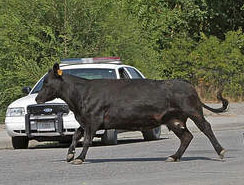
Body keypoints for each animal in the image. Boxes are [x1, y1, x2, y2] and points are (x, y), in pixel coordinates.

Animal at [35, 63, 229, 165]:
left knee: (206, 127)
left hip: (193, 111)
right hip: (173, 119)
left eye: (46, 83)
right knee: (186, 136)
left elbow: (88, 140)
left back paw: (220, 151)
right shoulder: (86, 121)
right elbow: (76, 135)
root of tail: (187, 84)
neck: (80, 95)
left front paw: (80, 158)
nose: (37, 98)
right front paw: (69, 154)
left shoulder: (94, 119)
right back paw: (173, 156)